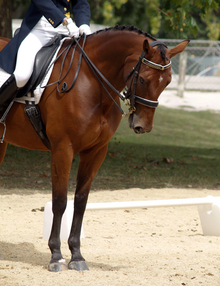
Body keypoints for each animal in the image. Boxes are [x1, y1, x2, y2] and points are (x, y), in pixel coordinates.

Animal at [0, 25, 189, 272]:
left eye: (167, 81)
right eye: (143, 79)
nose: (143, 126)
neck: (92, 83)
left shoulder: (96, 151)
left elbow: (81, 201)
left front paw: (77, 256)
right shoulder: (63, 148)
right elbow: (60, 201)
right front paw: (56, 256)